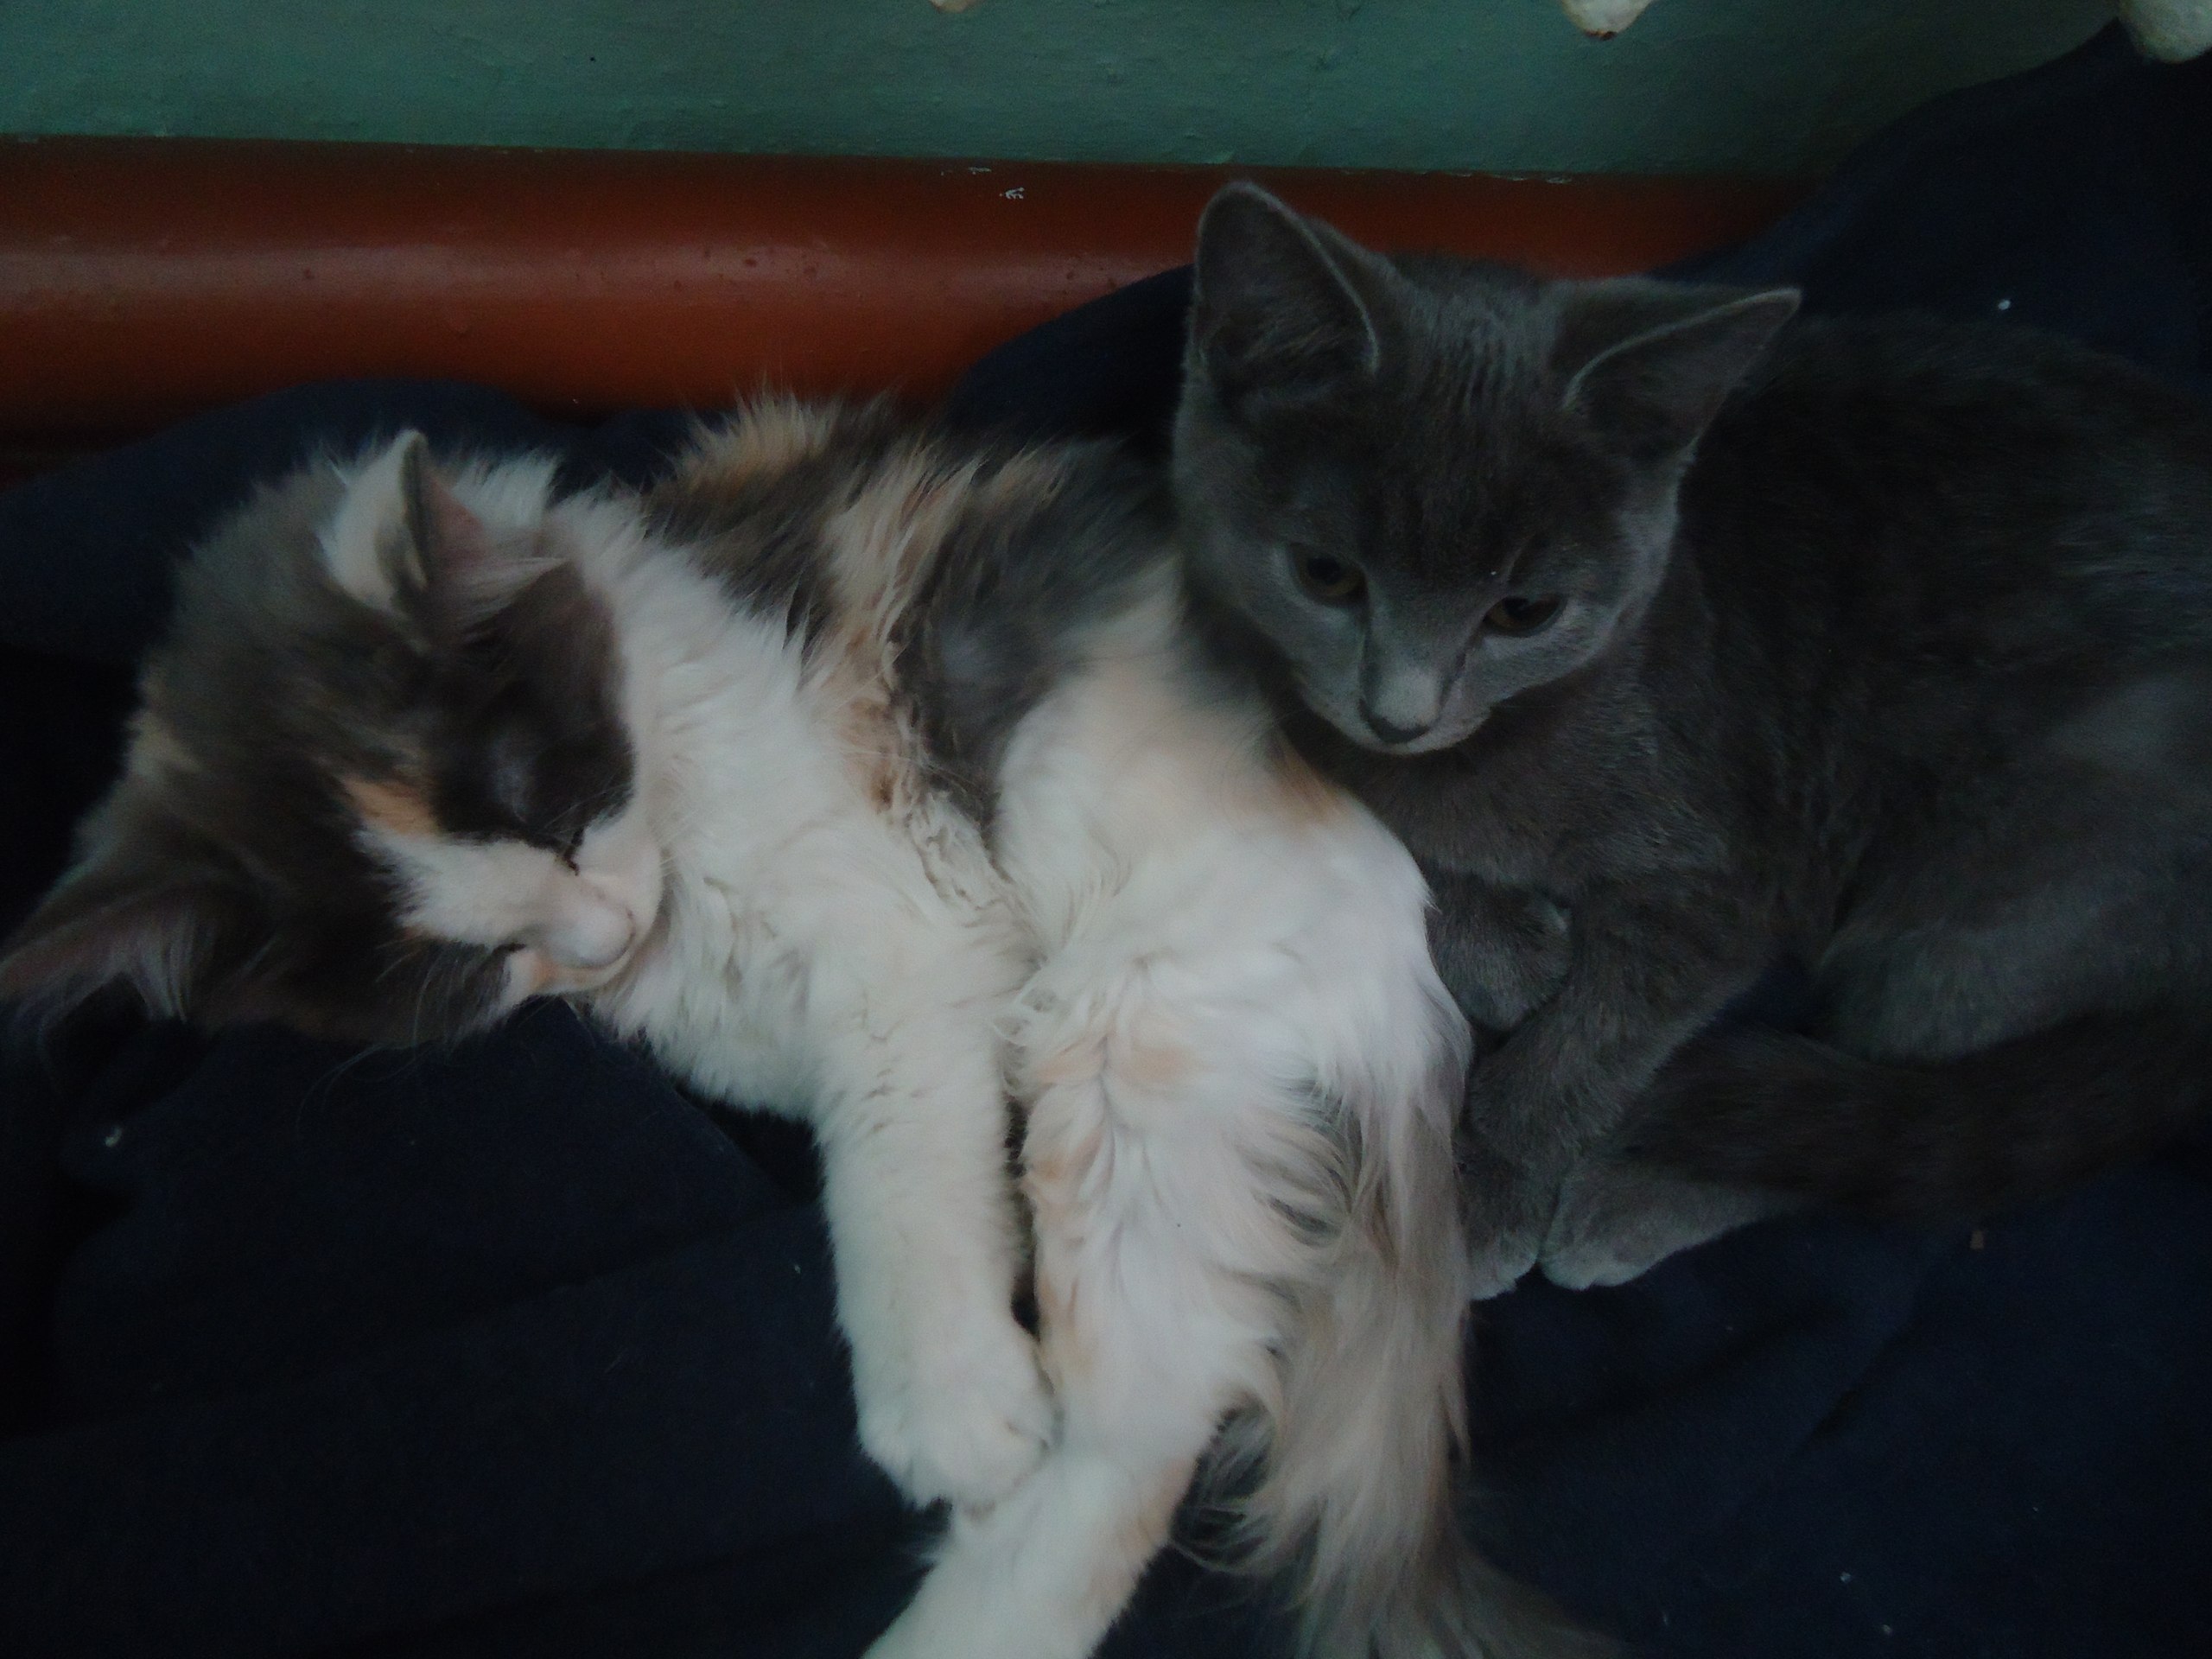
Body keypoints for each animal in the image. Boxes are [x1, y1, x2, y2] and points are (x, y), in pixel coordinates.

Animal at [0, 402, 1599, 1659]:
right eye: (459, 969)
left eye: (559, 807)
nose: (593, 937)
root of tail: (1411, 977)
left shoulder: (910, 941)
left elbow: (892, 1180)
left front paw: (950, 1401)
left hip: (1124, 1037)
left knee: (1144, 1421)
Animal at [1172, 181, 2212, 1296]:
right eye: (1325, 576)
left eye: (1523, 611)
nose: (1397, 711)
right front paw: (1512, 949)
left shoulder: (1719, 874)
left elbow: (1596, 1042)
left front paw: (1488, 1178)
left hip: (1984, 904)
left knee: (1888, 1123)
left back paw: (1635, 1194)